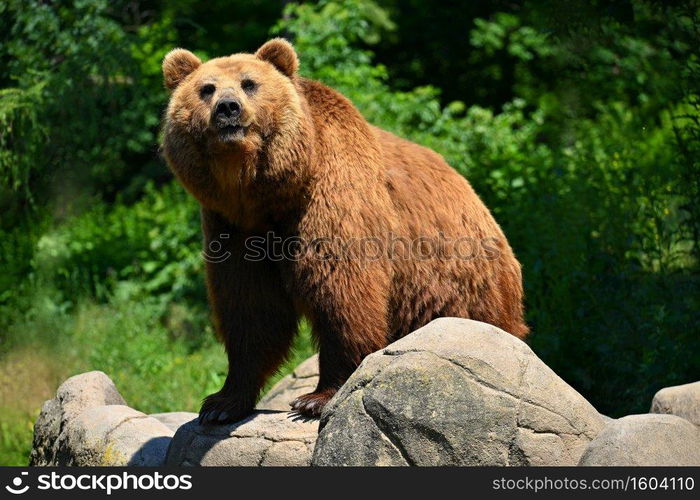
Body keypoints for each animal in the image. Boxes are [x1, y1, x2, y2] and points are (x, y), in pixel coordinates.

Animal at [161, 39, 528, 424]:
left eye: (249, 83)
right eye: (207, 89)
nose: (228, 108)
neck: (267, 194)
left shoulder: (332, 201)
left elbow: (342, 296)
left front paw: (314, 399)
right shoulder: (233, 228)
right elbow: (251, 308)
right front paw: (221, 403)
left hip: (456, 285)